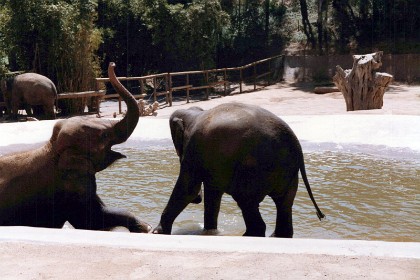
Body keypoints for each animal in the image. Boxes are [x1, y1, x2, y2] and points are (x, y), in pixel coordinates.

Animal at [0, 63, 151, 232]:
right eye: (104, 135)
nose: (112, 64)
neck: (53, 148)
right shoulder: (72, 187)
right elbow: (92, 221)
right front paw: (146, 228)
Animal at [154, 103, 324, 238]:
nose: (198, 199)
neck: (193, 114)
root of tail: (296, 144)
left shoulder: (194, 147)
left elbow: (188, 189)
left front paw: (157, 232)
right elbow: (212, 193)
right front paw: (209, 232)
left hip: (254, 168)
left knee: (245, 200)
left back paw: (247, 235)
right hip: (287, 171)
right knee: (284, 203)